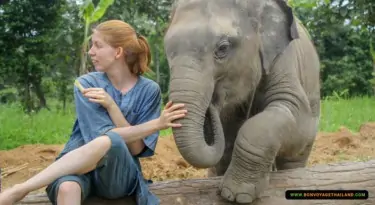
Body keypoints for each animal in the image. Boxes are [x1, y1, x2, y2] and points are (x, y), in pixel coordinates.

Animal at [164, 0, 320, 203]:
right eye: (167, 52)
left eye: (223, 48)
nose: (212, 102)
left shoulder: (282, 58)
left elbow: (295, 113)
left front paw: (236, 194)